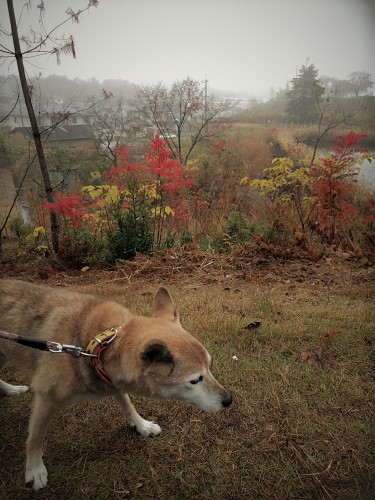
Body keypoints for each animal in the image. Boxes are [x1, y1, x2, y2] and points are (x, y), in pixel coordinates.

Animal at [0, 280, 232, 490]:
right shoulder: (46, 398)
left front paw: (142, 426)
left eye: (210, 366)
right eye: (195, 380)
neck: (96, 347)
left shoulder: (111, 380)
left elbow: (128, 406)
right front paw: (34, 470)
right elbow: (35, 438)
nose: (229, 400)